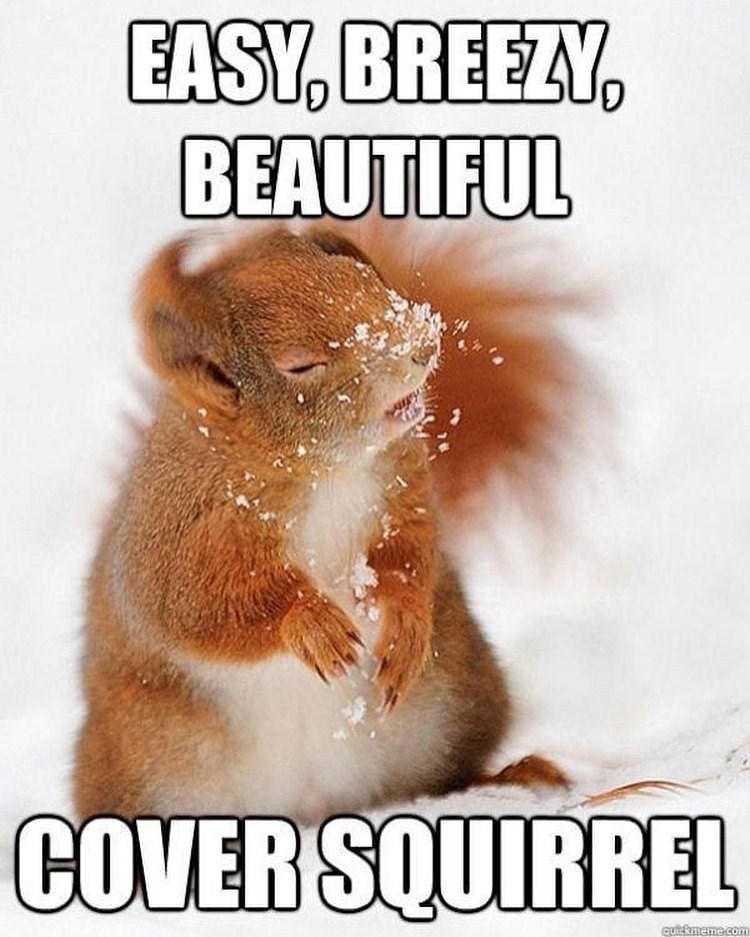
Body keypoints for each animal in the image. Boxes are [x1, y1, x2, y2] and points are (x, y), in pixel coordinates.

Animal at [74, 218, 582, 823]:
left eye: (365, 279)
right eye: (300, 364)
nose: (422, 344)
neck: (323, 471)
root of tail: (313, 804)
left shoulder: (402, 482)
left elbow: (411, 551)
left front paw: (405, 619)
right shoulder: (178, 534)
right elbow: (200, 605)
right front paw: (310, 623)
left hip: (458, 697)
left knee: (446, 774)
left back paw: (515, 775)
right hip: (145, 764)